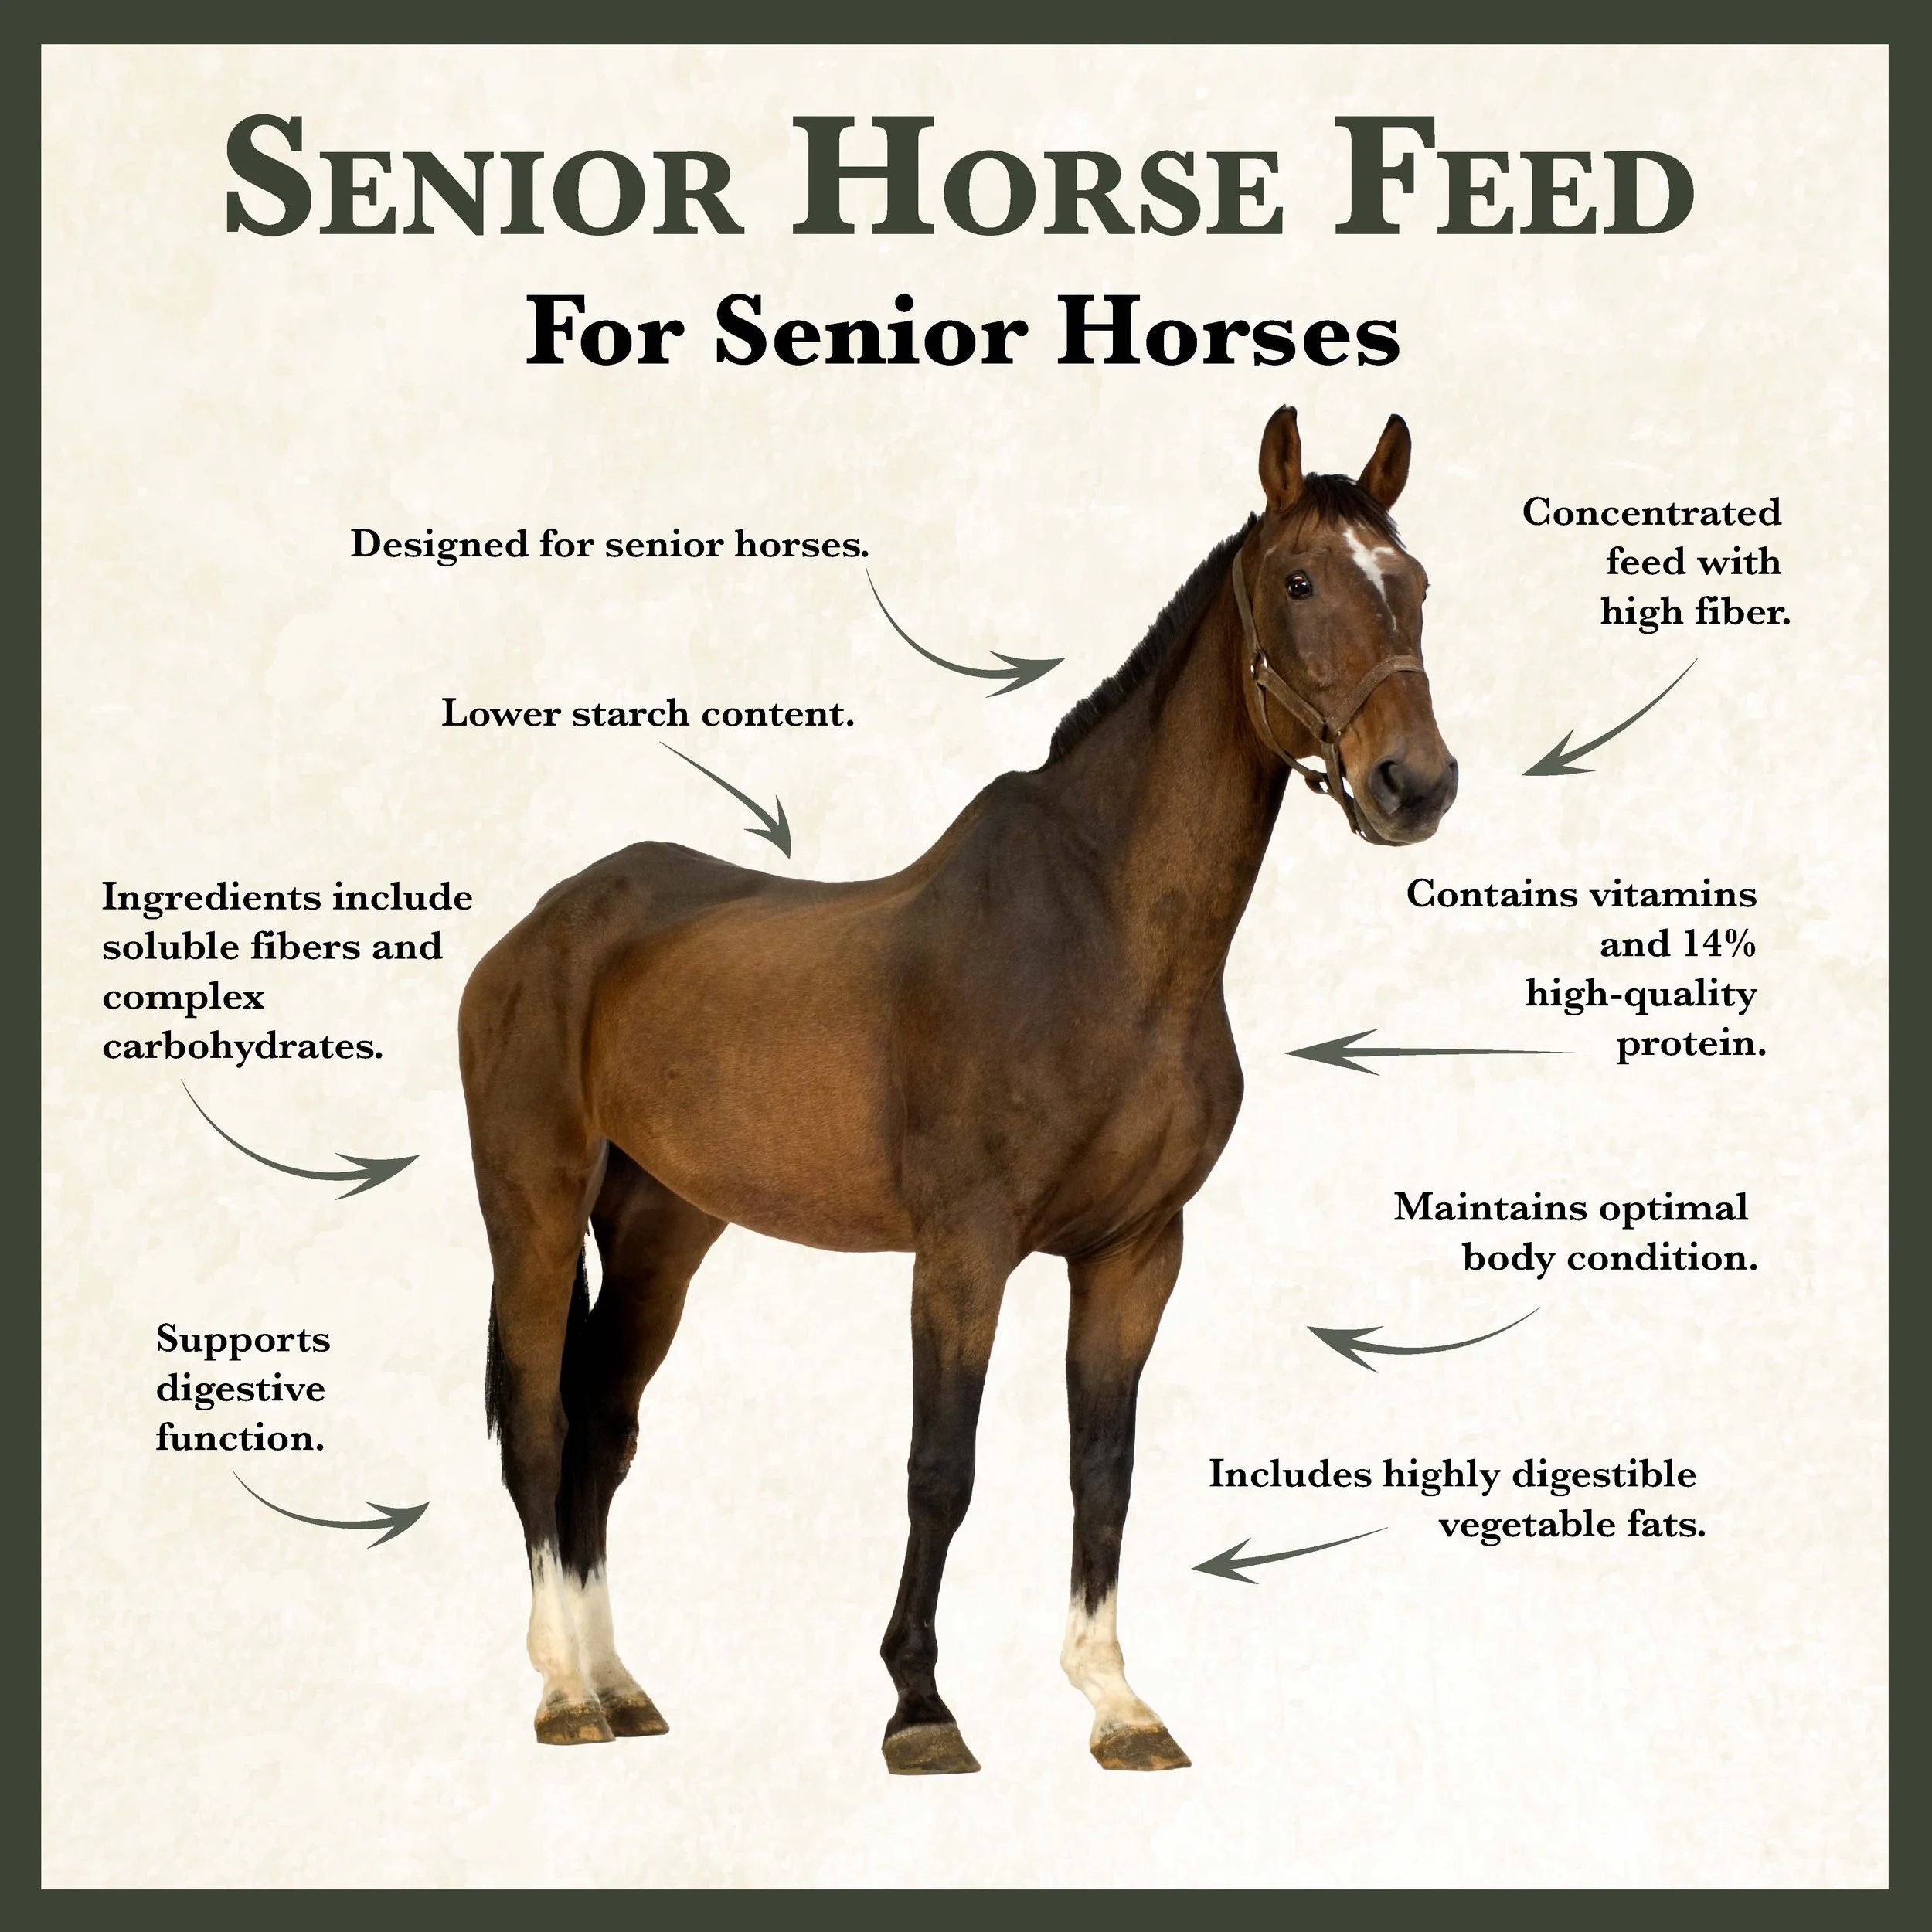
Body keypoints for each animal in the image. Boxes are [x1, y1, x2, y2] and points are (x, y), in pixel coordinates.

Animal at [459, 406, 1458, 1774]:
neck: (1105, 938)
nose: (1417, 784)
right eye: (1302, 581)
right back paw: (565, 1694)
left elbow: (1104, 1468)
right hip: (537, 1209)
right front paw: (920, 1707)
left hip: (666, 1228)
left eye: (1414, 583)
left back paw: (621, 1687)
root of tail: (540, 930)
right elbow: (943, 1467)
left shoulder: (1138, 1251)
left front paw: (1117, 1704)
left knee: (601, 1434)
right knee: (541, 1428)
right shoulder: (965, 1248)